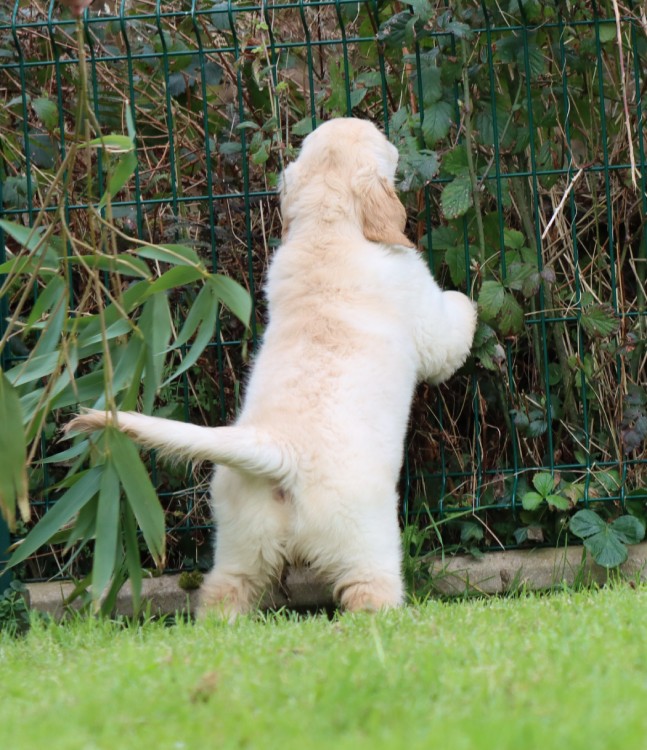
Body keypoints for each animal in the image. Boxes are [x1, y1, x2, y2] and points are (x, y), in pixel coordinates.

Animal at [67, 118, 477, 617]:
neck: (326, 228)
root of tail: (280, 450)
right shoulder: (422, 307)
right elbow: (451, 330)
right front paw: (469, 303)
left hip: (241, 540)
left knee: (224, 593)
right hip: (364, 539)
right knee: (368, 593)